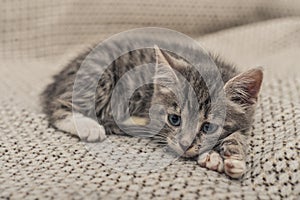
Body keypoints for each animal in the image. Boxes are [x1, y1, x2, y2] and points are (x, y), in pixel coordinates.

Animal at [41, 41, 262, 179]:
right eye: (174, 119)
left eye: (208, 127)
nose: (185, 144)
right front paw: (217, 156)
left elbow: (238, 134)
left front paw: (231, 157)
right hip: (99, 75)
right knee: (57, 108)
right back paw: (89, 126)